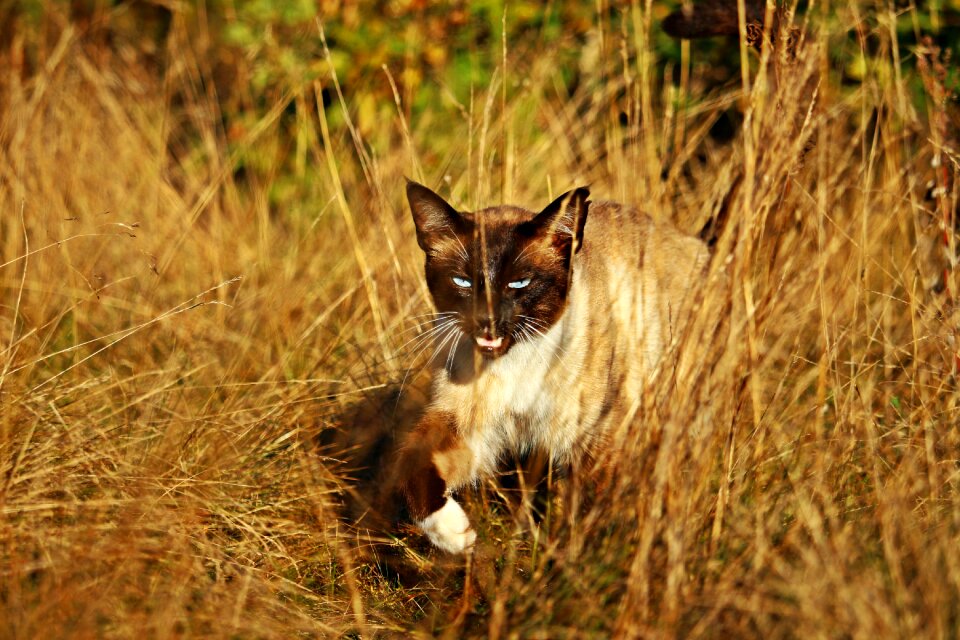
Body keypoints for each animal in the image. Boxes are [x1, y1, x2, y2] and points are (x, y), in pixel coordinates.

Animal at [392, 181, 712, 556]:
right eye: (463, 282)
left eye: (519, 284)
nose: (487, 320)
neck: (516, 365)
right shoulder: (470, 428)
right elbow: (410, 465)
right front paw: (455, 535)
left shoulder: (593, 441)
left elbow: (586, 520)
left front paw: (568, 566)